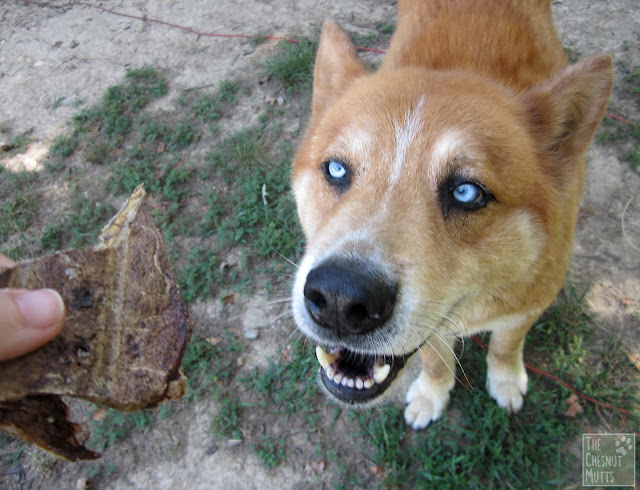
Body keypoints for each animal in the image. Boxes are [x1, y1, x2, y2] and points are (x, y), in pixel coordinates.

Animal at [288, 0, 608, 428]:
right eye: (336, 169)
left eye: (466, 192)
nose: (339, 299)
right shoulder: (435, 331)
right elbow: (436, 359)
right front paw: (432, 395)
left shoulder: (529, 305)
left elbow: (506, 346)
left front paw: (506, 380)